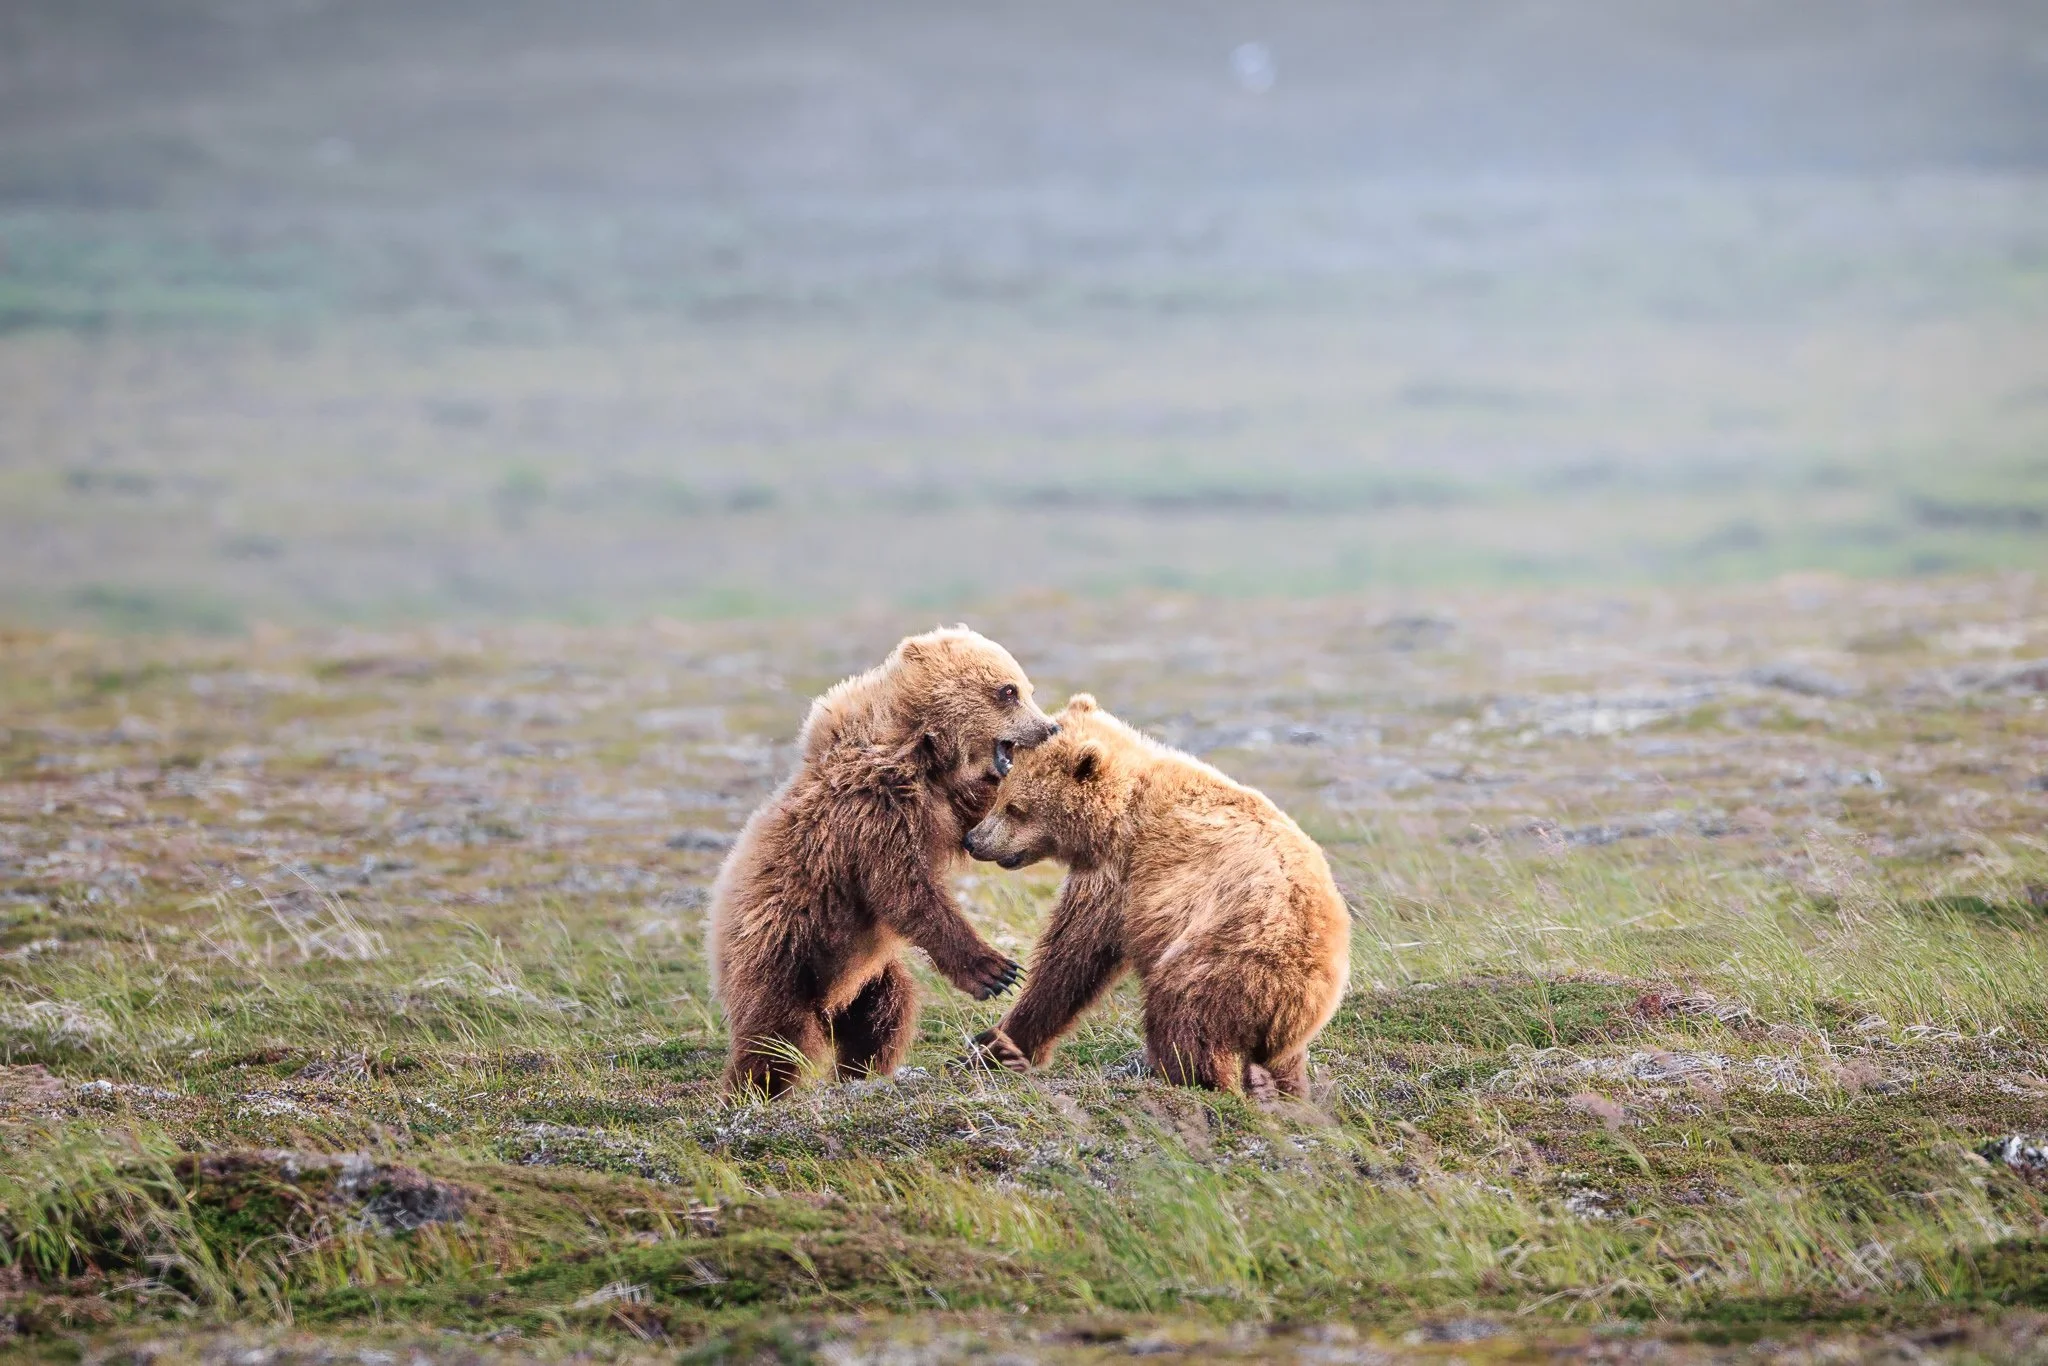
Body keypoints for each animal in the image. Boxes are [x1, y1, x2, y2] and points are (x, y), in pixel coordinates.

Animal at [707, 626, 1060, 1097]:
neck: (919, 752)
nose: (1050, 727)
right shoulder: (873, 811)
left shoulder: (947, 801)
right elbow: (904, 888)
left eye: (1025, 688)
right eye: (1008, 691)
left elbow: (979, 820)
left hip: (864, 974)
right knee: (776, 1034)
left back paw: (861, 1071)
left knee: (885, 1011)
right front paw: (996, 971)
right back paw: (754, 1089)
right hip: (781, 951)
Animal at [960, 694, 1350, 1099]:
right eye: (1000, 794)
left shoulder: (1121, 875)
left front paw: (996, 1045)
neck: (1115, 811)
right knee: (1281, 1063)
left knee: (1185, 1016)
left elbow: (1070, 958)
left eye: (1015, 807)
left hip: (1225, 957)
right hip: (1290, 1019)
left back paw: (1186, 1079)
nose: (973, 840)